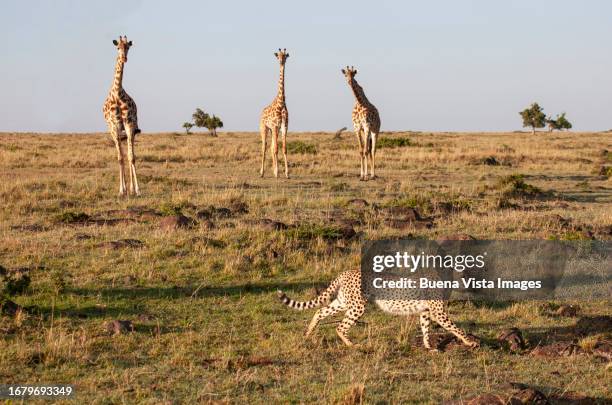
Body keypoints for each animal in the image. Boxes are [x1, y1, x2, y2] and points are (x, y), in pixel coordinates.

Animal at [278, 268, 478, 348]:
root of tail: (347, 271)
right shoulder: (438, 312)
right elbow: (456, 328)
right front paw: (470, 342)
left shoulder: (426, 312)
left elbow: (426, 329)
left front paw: (429, 347)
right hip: (357, 306)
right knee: (340, 326)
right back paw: (352, 345)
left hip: (343, 301)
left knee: (320, 311)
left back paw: (308, 333)